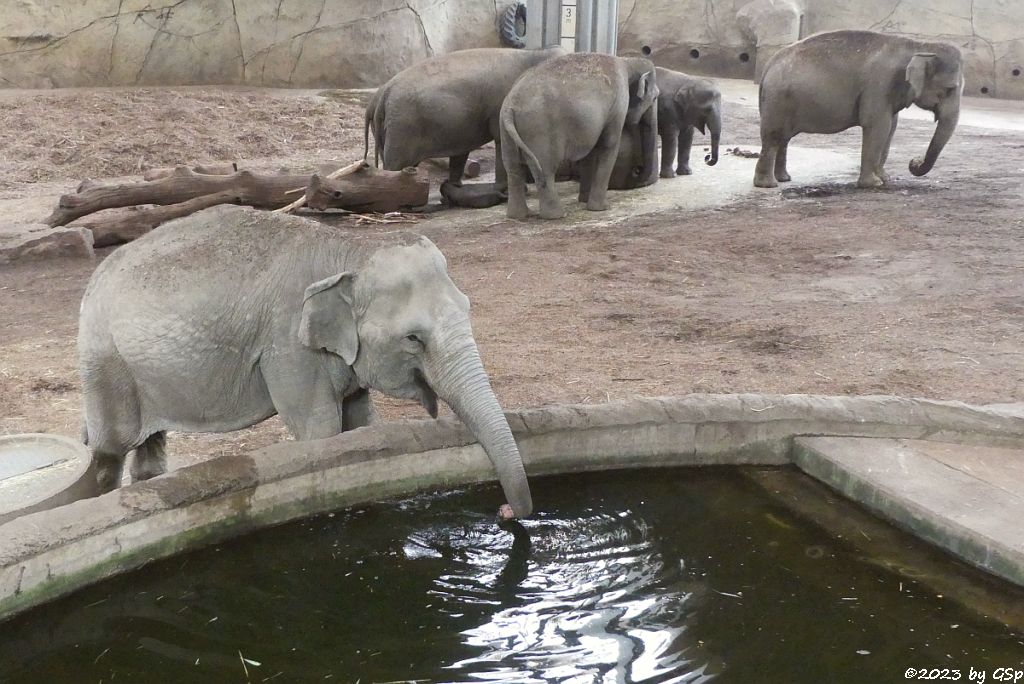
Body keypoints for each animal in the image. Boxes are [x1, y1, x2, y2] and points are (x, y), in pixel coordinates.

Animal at [75, 204, 532, 518]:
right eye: (413, 339)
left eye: (468, 307)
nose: (505, 511)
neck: (351, 255)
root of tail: (94, 280)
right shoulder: (288, 345)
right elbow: (321, 430)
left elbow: (362, 425)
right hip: (106, 362)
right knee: (110, 451)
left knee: (150, 448)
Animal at [362, 47, 569, 188]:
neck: (535, 54)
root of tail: (381, 95)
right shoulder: (500, 106)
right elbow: (502, 140)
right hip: (402, 128)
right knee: (395, 165)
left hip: (388, 129)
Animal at [499, 53, 659, 219]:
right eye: (654, 98)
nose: (637, 170)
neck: (628, 61)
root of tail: (510, 105)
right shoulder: (618, 104)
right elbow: (609, 145)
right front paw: (602, 208)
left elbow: (590, 153)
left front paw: (584, 200)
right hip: (540, 129)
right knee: (545, 170)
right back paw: (556, 215)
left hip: (505, 131)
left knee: (513, 168)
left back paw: (519, 215)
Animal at [753, 30, 958, 187]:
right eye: (949, 89)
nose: (914, 162)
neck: (919, 46)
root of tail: (767, 67)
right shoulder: (879, 84)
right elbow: (878, 126)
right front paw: (873, 184)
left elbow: (891, 127)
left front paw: (886, 179)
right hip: (778, 100)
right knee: (774, 137)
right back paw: (768, 185)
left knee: (783, 139)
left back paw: (784, 179)